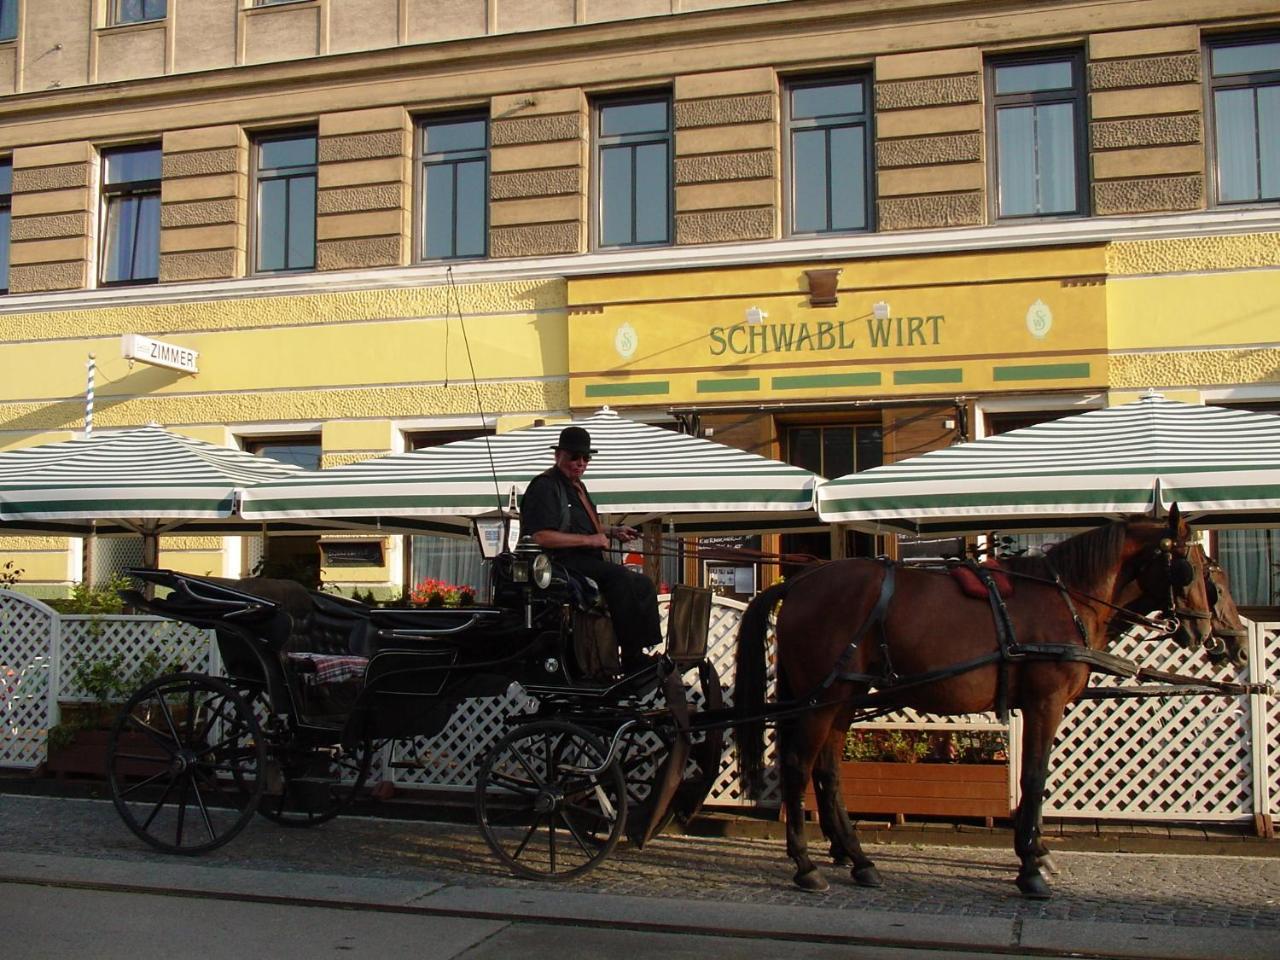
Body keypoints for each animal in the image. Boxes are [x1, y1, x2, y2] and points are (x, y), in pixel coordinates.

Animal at [737, 512, 1213, 901]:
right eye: (1192, 567)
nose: (1203, 632)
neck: (1067, 599)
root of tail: (800, 581)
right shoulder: (1045, 703)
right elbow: (1033, 778)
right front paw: (1030, 867)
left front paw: (1036, 854)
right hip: (823, 700)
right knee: (798, 766)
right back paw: (806, 865)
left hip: (842, 699)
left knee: (828, 773)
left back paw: (859, 860)